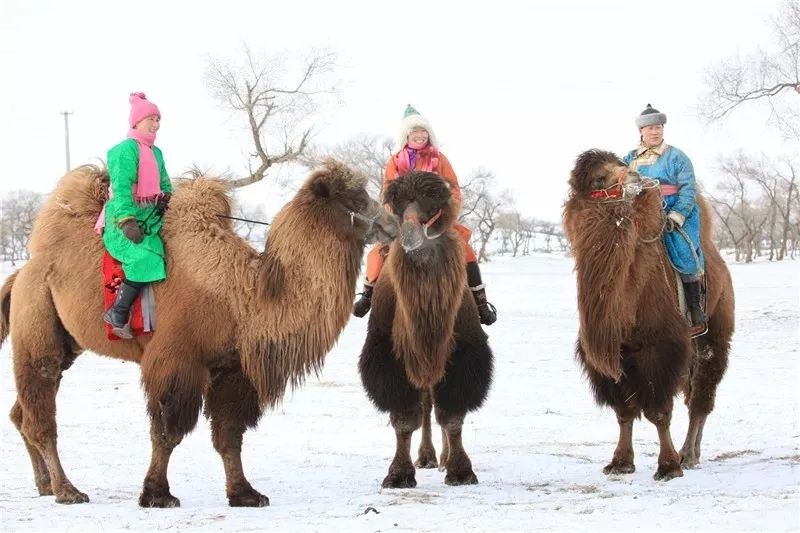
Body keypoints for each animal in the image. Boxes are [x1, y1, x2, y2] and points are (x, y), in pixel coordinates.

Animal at [0, 160, 398, 507]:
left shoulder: (232, 369)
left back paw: (44, 485)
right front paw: (157, 495)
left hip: (67, 341)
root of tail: (22, 272)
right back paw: (67, 490)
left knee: (22, 412)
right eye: (355, 198)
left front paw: (245, 494)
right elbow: (167, 432)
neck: (246, 294)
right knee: (40, 412)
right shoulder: (176, 360)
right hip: (37, 322)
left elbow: (229, 435)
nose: (391, 224)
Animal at [358, 171, 494, 488]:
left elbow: (453, 415)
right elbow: (405, 417)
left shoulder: (462, 356)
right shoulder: (389, 357)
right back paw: (427, 457)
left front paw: (460, 471)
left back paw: (442, 458)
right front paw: (398, 474)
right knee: (425, 405)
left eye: (433, 202)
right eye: (396, 202)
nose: (410, 235)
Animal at [563, 149, 735, 481]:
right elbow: (624, 411)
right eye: (599, 177)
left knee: (701, 397)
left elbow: (658, 411)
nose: (635, 176)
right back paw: (691, 454)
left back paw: (687, 455)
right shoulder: (613, 356)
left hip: (714, 332)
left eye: (620, 164)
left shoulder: (660, 348)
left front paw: (668, 466)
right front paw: (620, 462)